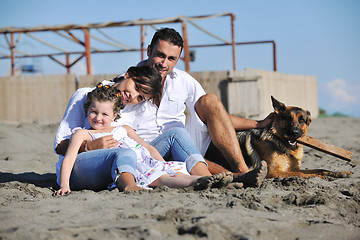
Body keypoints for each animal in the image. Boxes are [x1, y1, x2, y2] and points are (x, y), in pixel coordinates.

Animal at [205, 95, 352, 178]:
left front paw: (340, 173)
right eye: (288, 118)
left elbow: (319, 169)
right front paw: (320, 176)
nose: (295, 132)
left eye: (302, 120)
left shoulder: (293, 168)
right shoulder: (274, 172)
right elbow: (304, 174)